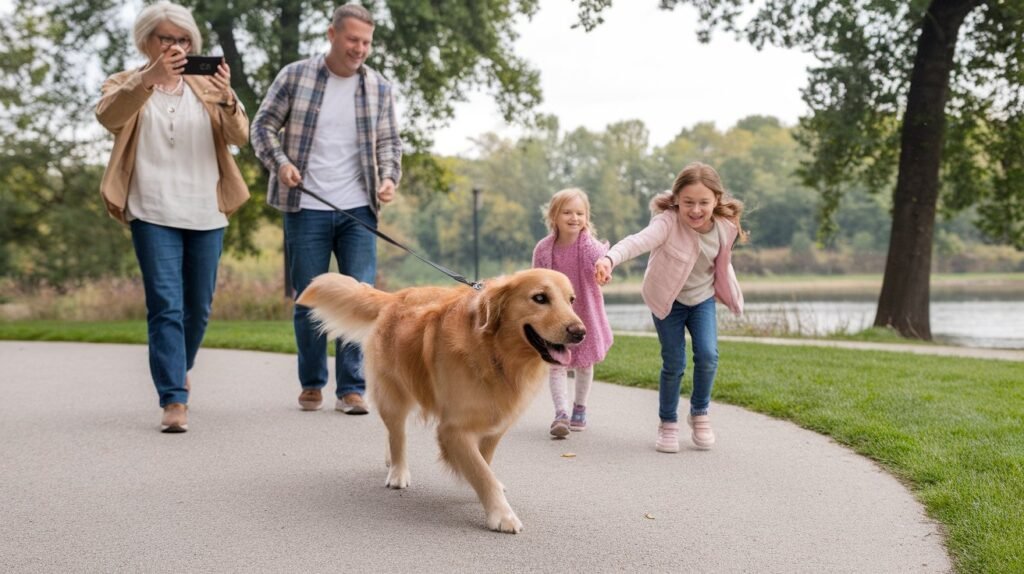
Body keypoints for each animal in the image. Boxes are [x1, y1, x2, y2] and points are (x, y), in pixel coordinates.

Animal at [296, 268, 585, 532]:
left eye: (571, 300)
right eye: (540, 298)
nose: (580, 332)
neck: (496, 354)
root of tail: (395, 297)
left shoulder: (496, 424)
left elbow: (485, 461)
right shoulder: (452, 429)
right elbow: (481, 471)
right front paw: (502, 515)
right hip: (394, 394)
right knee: (397, 434)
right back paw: (397, 471)